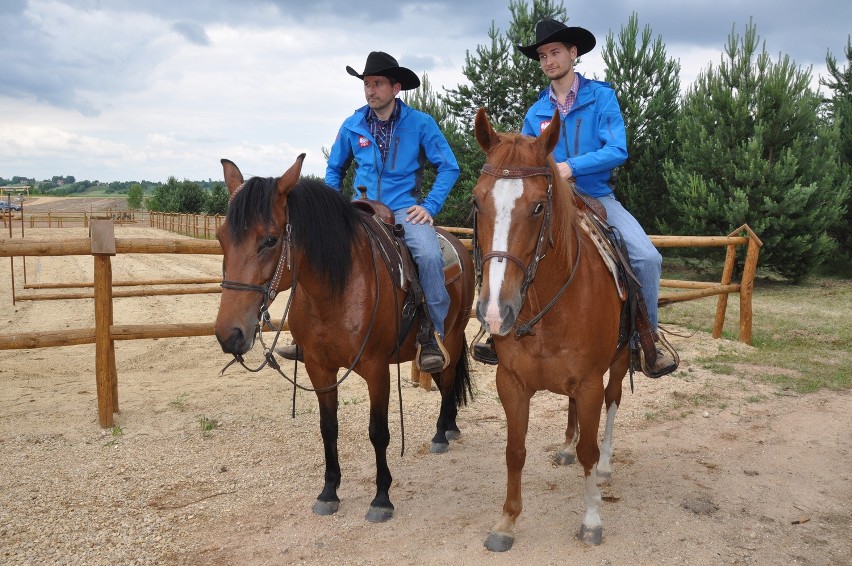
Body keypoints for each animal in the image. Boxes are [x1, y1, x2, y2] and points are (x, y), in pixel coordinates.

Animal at [213, 155, 476, 524]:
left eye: (270, 240)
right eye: (221, 238)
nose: (229, 334)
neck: (336, 289)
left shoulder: (377, 370)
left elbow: (378, 432)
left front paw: (381, 498)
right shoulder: (318, 368)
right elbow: (328, 428)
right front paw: (329, 491)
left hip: (450, 336)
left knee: (448, 378)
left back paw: (441, 432)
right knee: (443, 381)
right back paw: (449, 428)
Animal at [470, 110, 628, 552]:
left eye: (539, 206)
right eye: (476, 201)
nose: (495, 312)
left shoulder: (590, 382)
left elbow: (590, 449)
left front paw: (591, 519)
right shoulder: (511, 383)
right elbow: (514, 450)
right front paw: (506, 522)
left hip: (620, 362)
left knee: (613, 404)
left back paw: (606, 465)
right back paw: (566, 447)